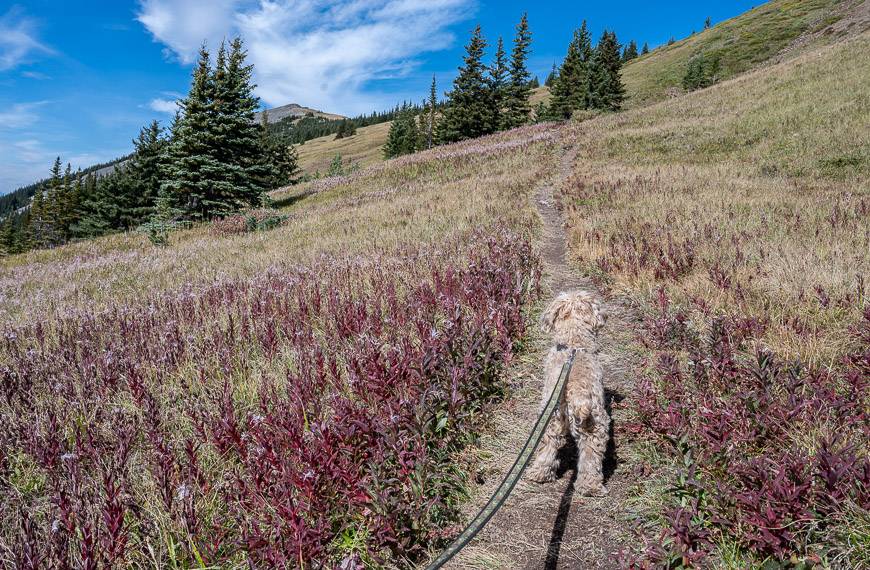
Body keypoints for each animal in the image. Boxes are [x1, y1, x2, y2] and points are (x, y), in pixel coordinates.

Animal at [524, 288, 612, 492]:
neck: (574, 342)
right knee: (590, 455)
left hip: (551, 419)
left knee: (547, 446)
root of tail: (577, 395)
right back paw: (590, 487)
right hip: (594, 423)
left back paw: (538, 474)